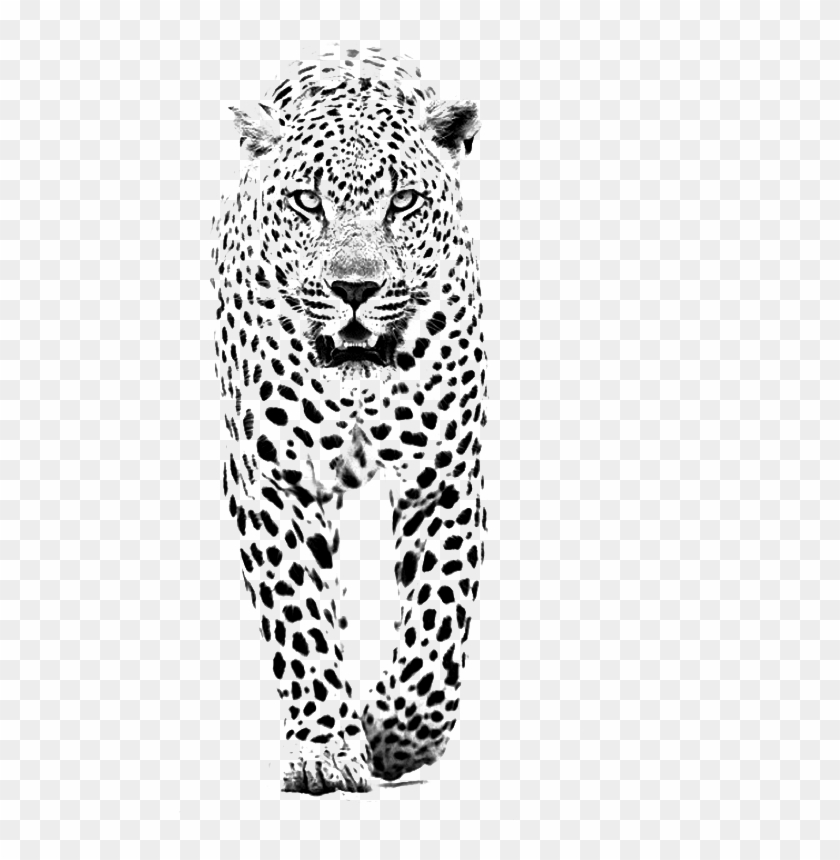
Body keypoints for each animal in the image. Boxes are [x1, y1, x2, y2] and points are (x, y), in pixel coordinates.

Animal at [211, 46, 487, 794]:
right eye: (309, 202)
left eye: (403, 203)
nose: (355, 289)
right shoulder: (273, 479)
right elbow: (299, 616)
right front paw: (327, 748)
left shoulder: (443, 477)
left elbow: (437, 626)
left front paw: (393, 734)